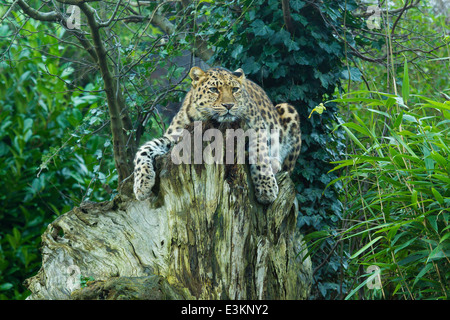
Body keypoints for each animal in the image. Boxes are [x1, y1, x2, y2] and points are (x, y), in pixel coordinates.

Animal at [134, 66, 302, 204]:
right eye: (214, 89)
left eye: (235, 89)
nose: (229, 105)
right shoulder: (174, 136)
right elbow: (145, 149)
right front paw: (141, 185)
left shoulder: (257, 127)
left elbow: (260, 154)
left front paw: (267, 188)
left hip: (288, 110)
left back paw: (275, 165)